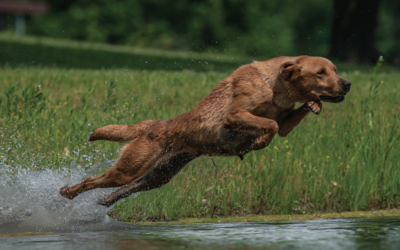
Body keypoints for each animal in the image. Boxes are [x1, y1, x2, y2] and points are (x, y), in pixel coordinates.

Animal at [59, 56, 350, 207]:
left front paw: (314, 103)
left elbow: (282, 123)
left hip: (158, 176)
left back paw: (102, 203)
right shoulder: (235, 116)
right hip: (130, 167)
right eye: (321, 72)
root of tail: (154, 124)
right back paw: (68, 192)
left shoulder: (286, 122)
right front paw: (257, 142)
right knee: (92, 180)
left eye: (335, 69)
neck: (279, 86)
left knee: (119, 190)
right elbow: (270, 124)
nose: (347, 83)